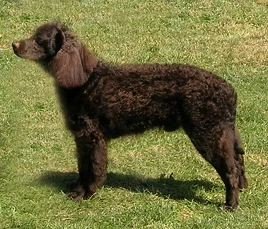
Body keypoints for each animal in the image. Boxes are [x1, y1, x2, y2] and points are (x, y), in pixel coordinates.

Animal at [12, 22, 247, 210]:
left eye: (39, 40)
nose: (14, 44)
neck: (85, 79)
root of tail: (230, 91)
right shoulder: (81, 138)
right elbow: (82, 167)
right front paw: (77, 188)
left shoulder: (92, 137)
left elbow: (93, 168)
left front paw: (85, 194)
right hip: (225, 134)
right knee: (238, 162)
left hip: (207, 134)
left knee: (230, 170)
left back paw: (230, 205)